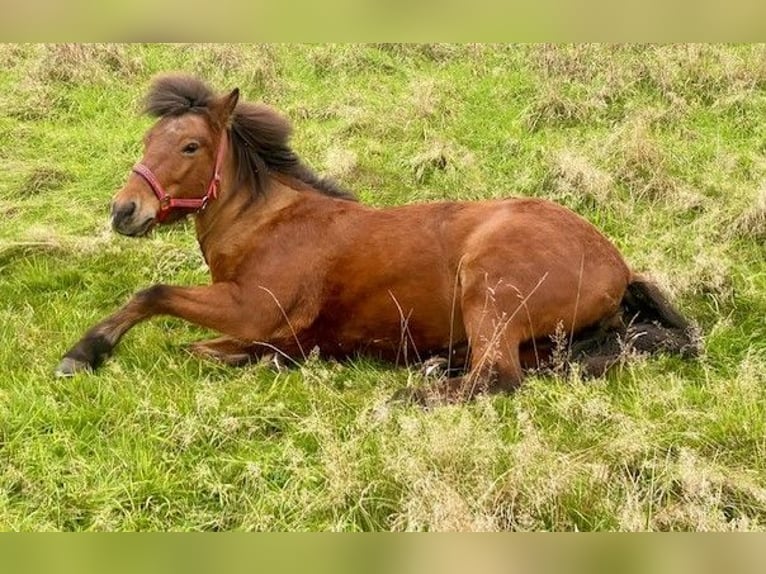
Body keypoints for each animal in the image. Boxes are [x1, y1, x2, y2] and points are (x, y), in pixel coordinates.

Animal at [55, 75, 704, 404]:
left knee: (497, 377)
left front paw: (84, 352)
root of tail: (618, 266)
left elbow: (154, 294)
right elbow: (202, 346)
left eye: (190, 146)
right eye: (148, 140)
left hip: (490, 287)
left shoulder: (251, 309)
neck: (267, 225)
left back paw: (407, 391)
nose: (124, 211)